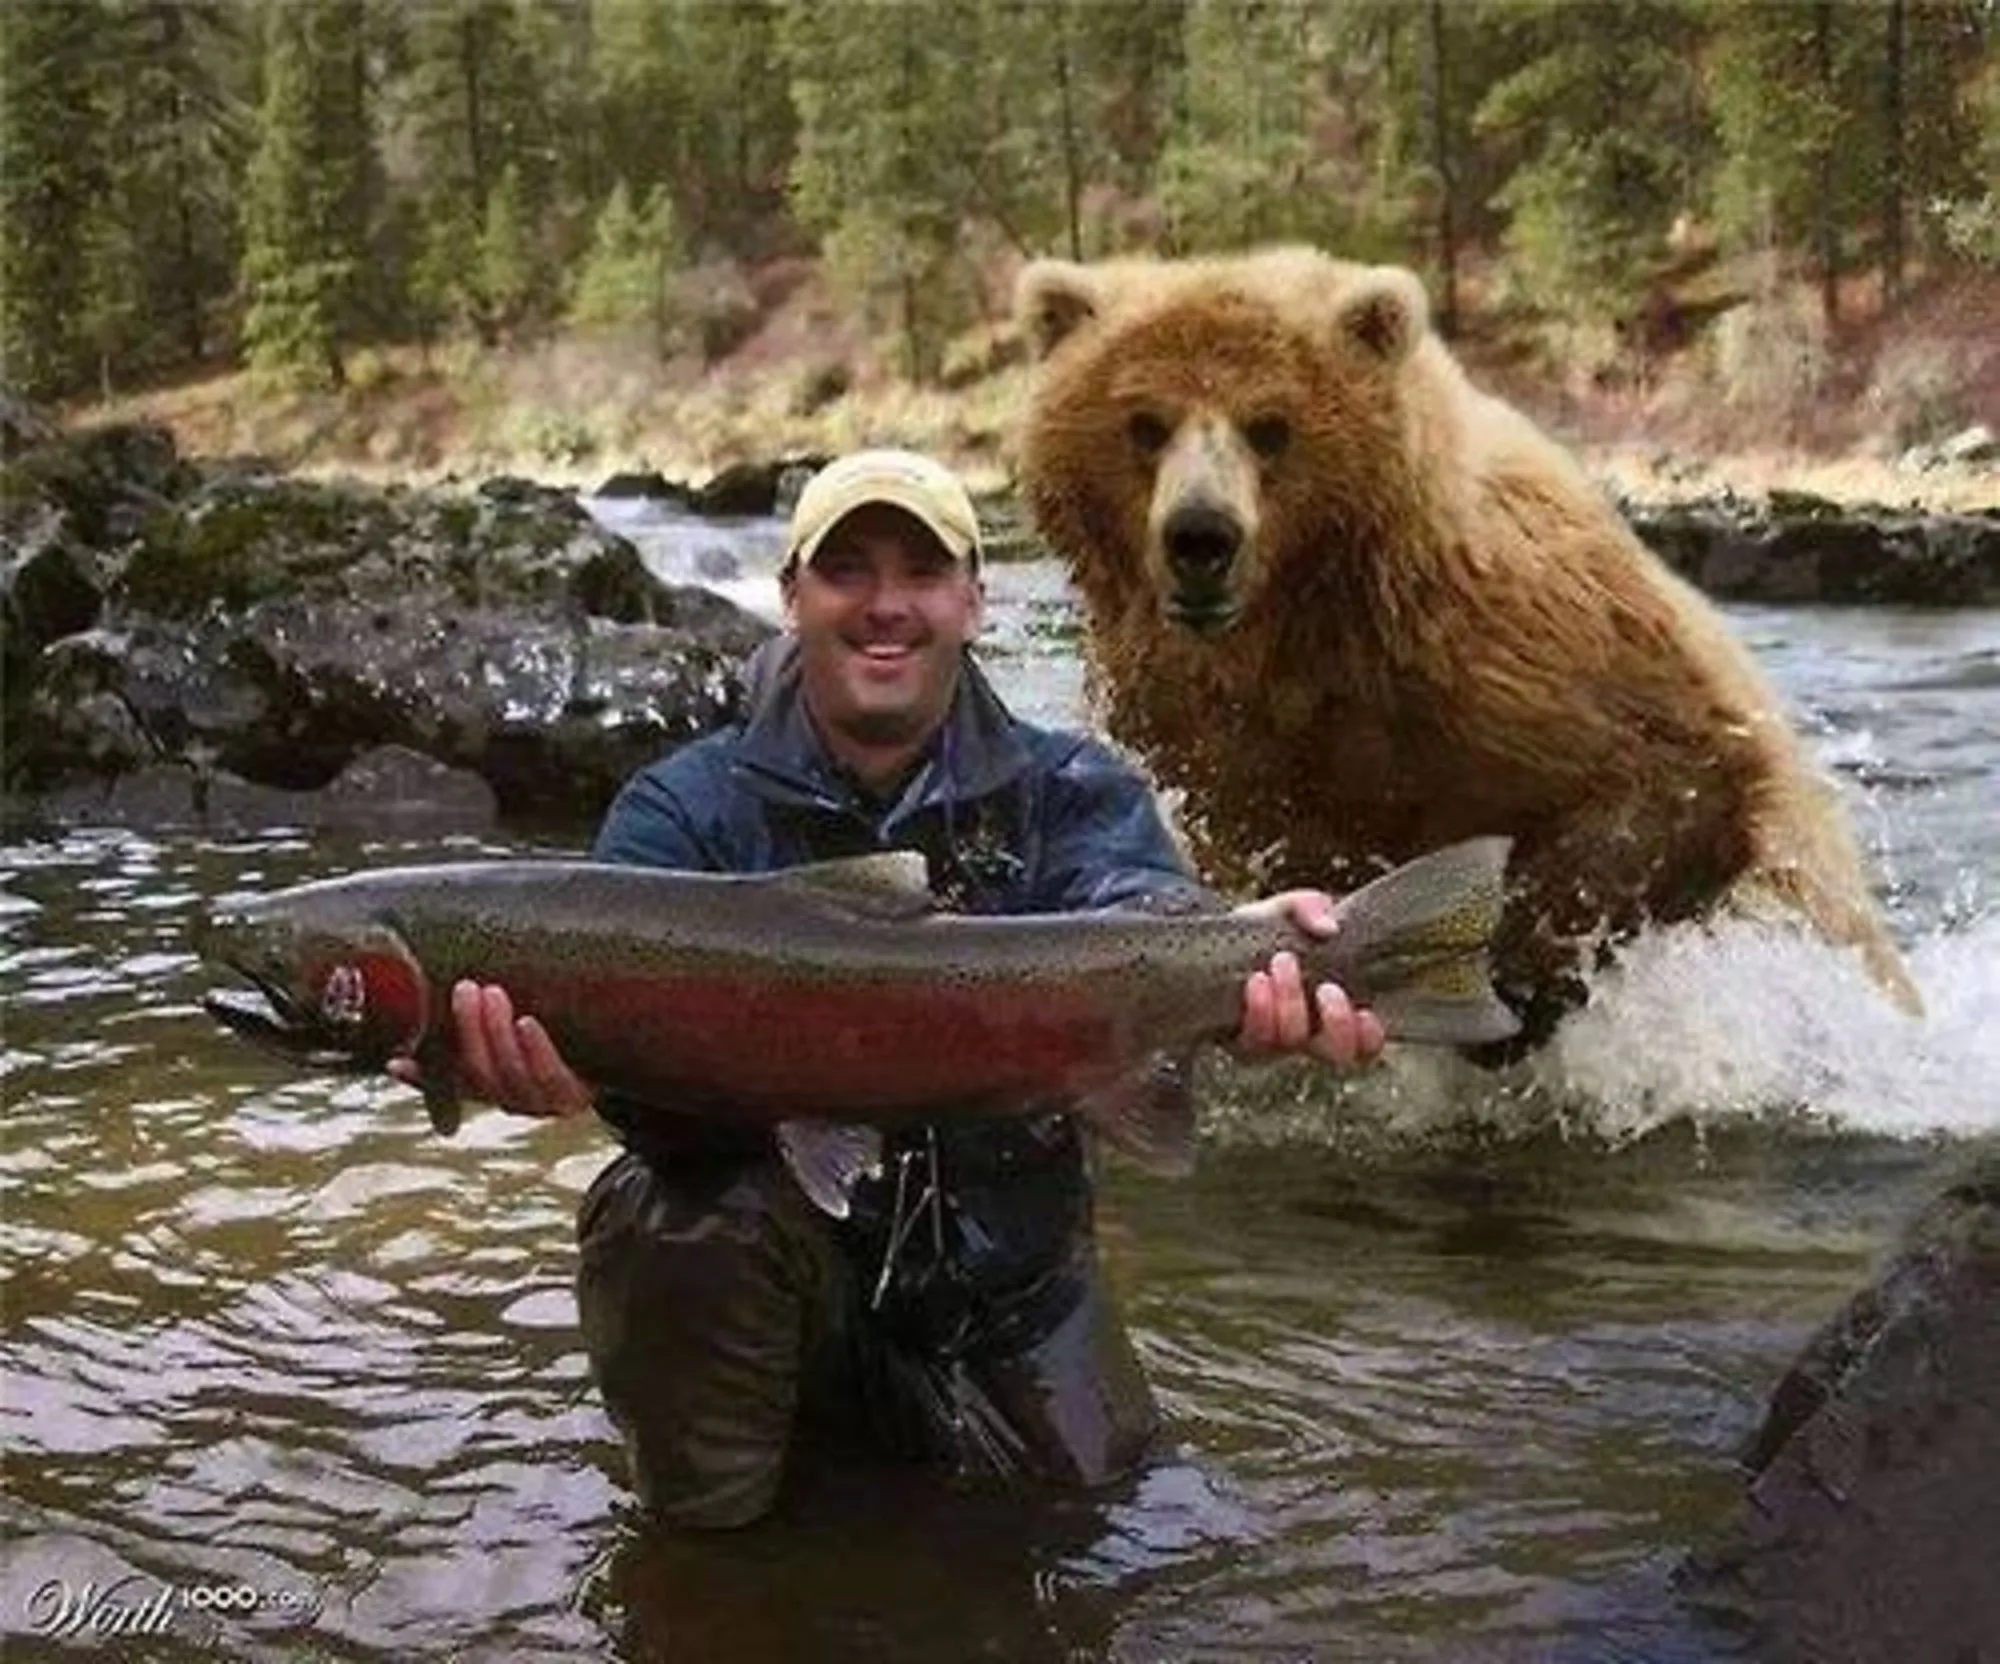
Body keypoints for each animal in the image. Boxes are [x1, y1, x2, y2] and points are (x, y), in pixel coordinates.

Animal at [1012, 245, 1921, 1048]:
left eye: (1271, 427)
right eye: (1145, 423)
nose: (1201, 536)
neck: (1306, 629)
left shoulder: (1514, 651)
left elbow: (1668, 777)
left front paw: (1509, 974)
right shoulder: (1194, 725)